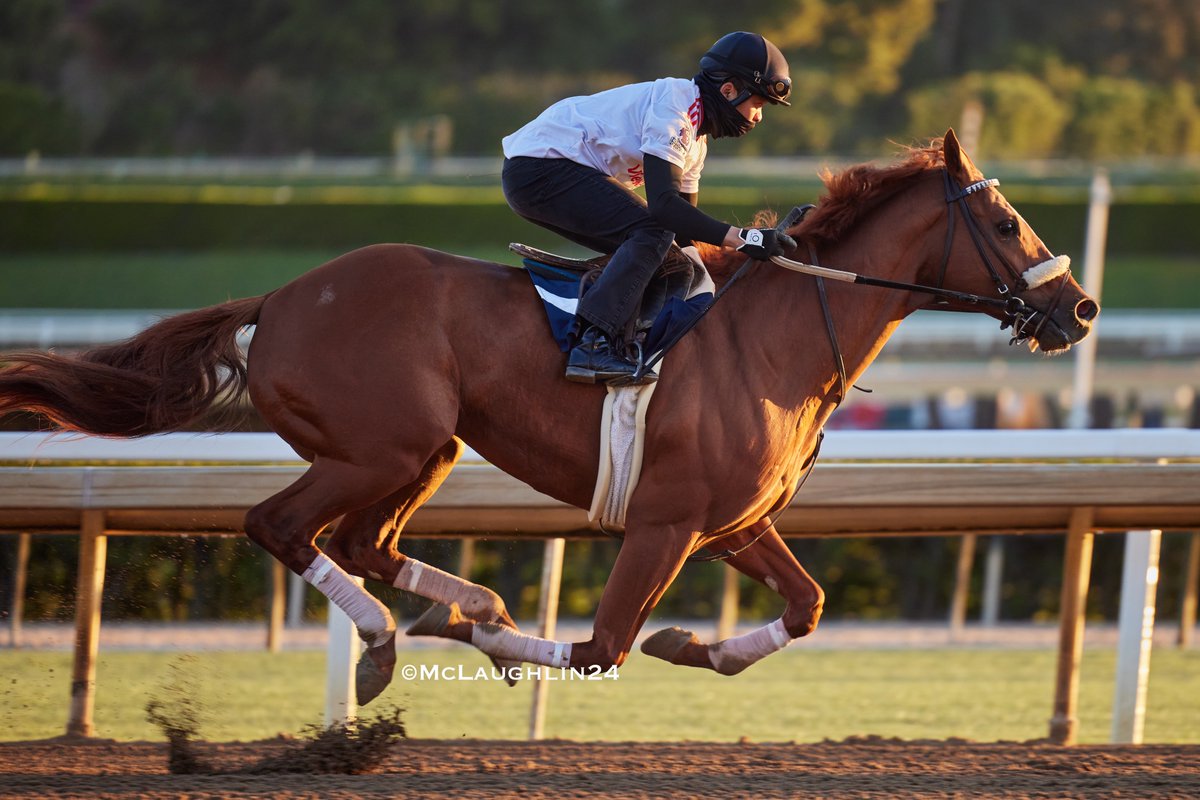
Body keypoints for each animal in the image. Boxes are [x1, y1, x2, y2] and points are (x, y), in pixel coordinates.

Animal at [0, 133, 1099, 705]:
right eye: (1004, 221)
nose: (1081, 307)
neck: (775, 336)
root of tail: (282, 296)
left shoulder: (733, 521)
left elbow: (808, 603)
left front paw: (696, 646)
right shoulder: (665, 522)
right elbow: (602, 645)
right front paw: (515, 647)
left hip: (426, 448)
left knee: (361, 542)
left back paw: (457, 606)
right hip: (377, 446)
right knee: (282, 527)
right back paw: (398, 638)